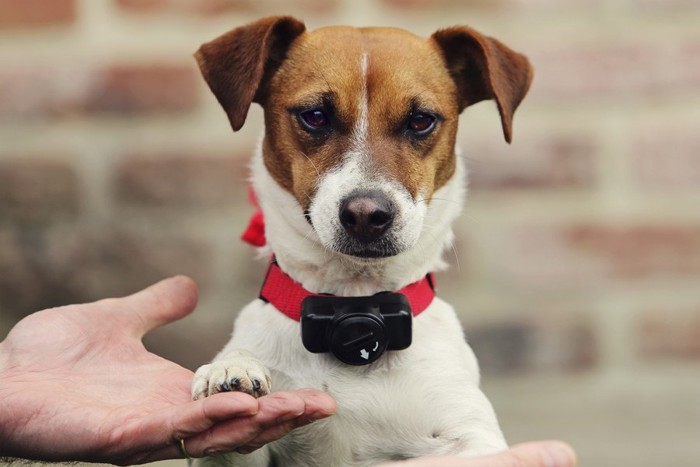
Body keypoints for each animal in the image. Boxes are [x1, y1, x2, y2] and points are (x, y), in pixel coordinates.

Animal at [190, 16, 532, 466]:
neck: (355, 303)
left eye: (421, 120)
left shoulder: (474, 435)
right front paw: (231, 368)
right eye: (315, 116)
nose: (367, 215)